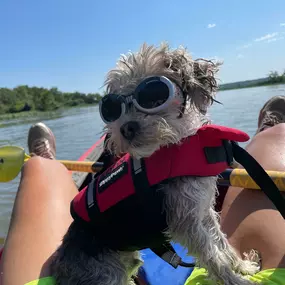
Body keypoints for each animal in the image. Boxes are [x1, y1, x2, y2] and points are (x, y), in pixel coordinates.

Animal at [50, 42, 258, 284]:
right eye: (111, 108)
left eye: (154, 95)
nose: (125, 128)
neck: (178, 145)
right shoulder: (186, 222)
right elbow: (214, 257)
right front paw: (236, 280)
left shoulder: (202, 211)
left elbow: (222, 243)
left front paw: (243, 267)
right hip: (109, 275)